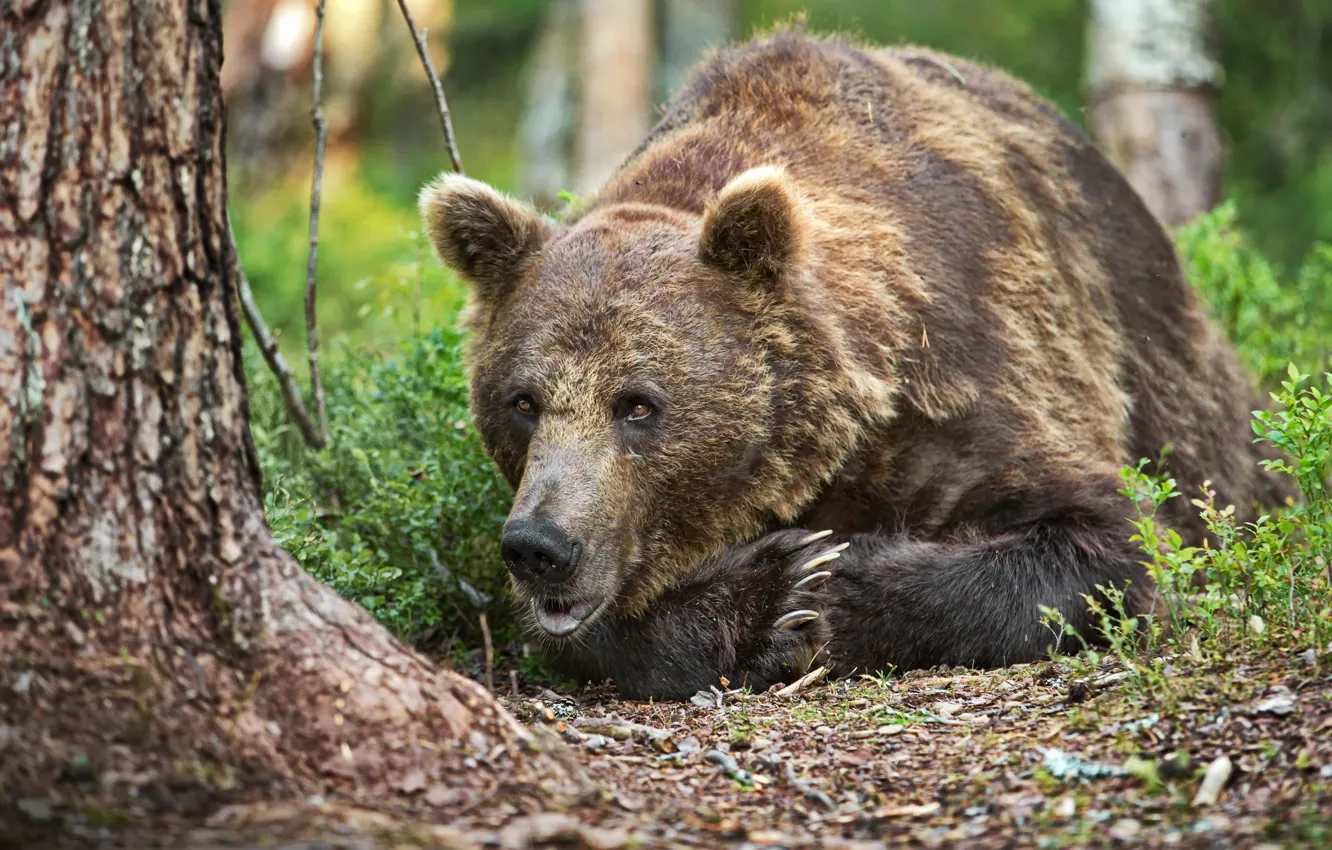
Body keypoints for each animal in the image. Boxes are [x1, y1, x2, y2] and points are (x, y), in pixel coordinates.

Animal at [415, 29, 1289, 703]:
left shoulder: (970, 372)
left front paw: (825, 578)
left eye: (638, 402)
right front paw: (771, 596)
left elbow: (1107, 539)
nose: (542, 545)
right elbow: (583, 629)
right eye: (524, 401)